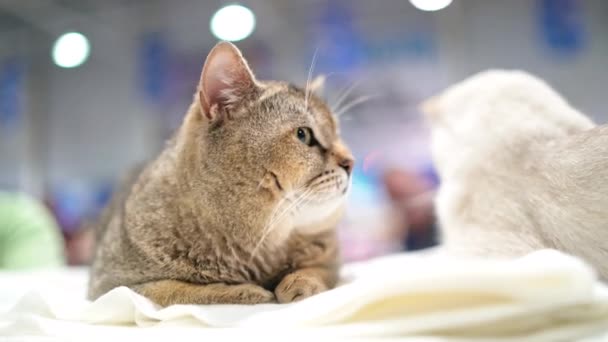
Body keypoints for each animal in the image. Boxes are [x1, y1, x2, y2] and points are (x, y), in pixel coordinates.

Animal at [87, 41, 354, 306]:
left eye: (338, 134)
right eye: (303, 135)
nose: (350, 162)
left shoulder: (330, 256)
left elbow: (319, 269)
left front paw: (300, 281)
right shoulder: (112, 286)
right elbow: (178, 290)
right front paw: (245, 291)